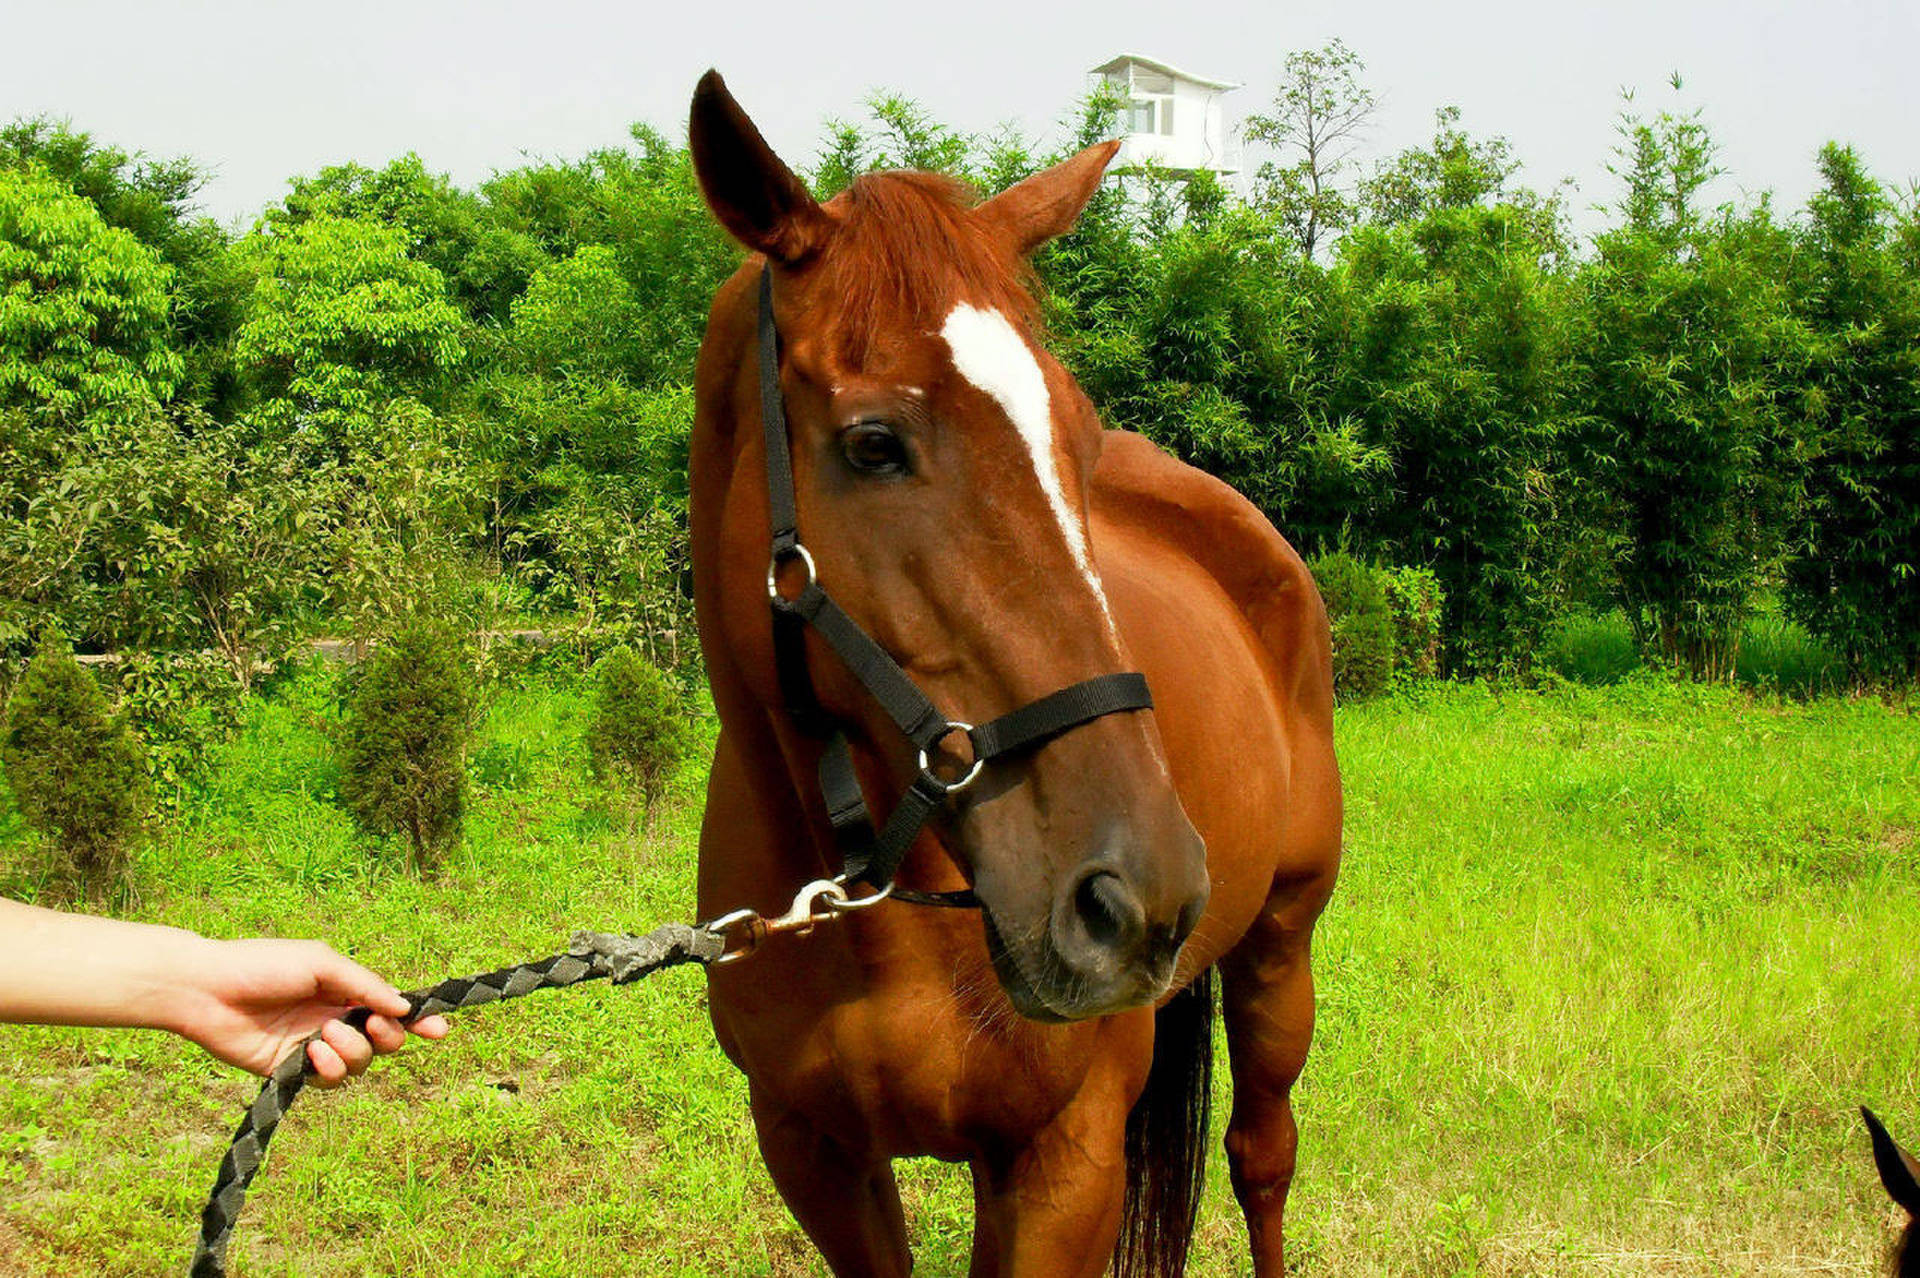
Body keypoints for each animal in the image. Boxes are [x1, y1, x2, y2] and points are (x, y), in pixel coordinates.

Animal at [687, 71, 1336, 1274]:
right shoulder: (814, 1153)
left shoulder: (1060, 1162)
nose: (1139, 895)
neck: (879, 910)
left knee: (1263, 1158)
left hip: (1281, 947)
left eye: (1076, 438)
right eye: (874, 442)